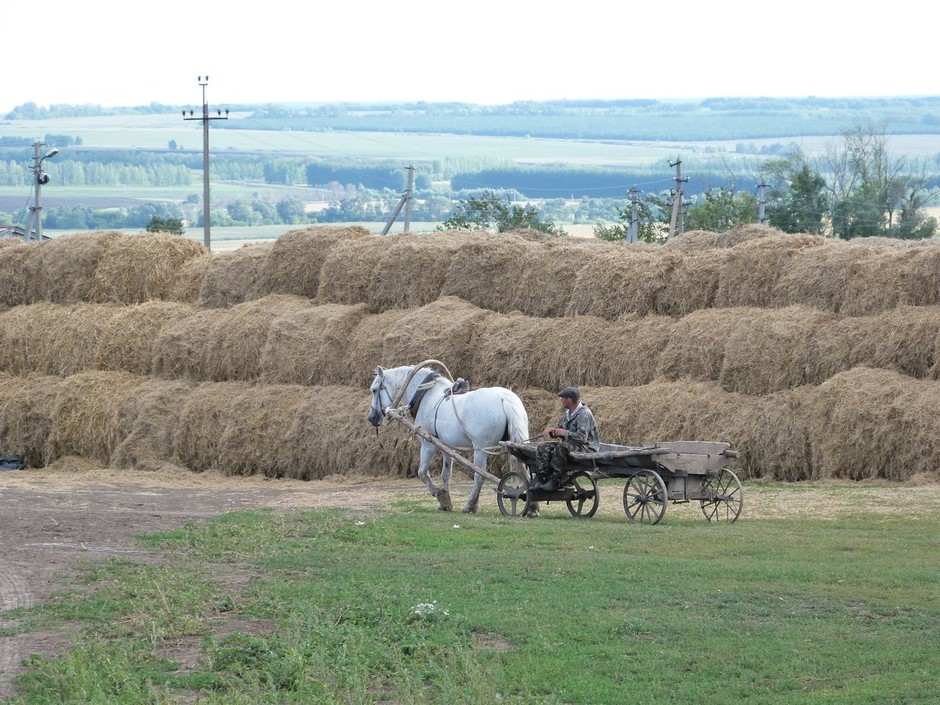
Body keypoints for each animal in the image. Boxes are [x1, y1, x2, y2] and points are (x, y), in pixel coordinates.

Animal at [368, 364, 528, 512]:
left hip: (481, 449)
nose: (371, 418)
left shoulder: (428, 444)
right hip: (513, 446)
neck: (426, 394)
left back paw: (470, 505)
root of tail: (504, 398)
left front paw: (440, 495)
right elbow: (446, 474)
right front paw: (445, 502)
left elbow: (422, 472)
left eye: (374, 389)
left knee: (480, 475)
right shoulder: (447, 447)